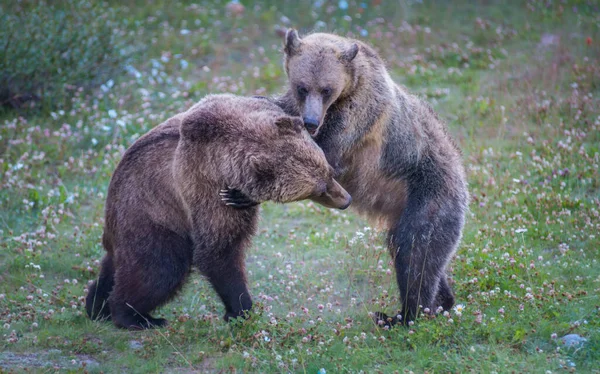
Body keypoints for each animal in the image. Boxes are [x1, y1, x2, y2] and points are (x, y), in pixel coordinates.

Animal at [86, 94, 354, 330]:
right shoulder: (204, 183)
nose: (346, 200)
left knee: (118, 265)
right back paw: (135, 317)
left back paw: (96, 306)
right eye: (319, 190)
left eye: (329, 172)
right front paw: (240, 310)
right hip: (152, 213)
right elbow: (219, 251)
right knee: (160, 268)